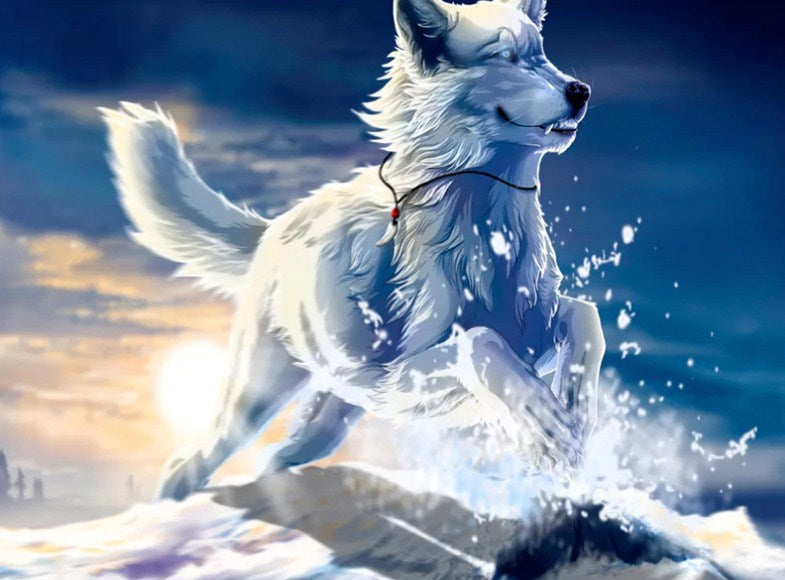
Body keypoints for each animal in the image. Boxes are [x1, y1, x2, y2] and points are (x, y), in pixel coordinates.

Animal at [101, 0, 605, 500]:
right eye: (505, 57)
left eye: (542, 53)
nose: (581, 90)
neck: (487, 231)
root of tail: (274, 228)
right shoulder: (397, 377)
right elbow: (481, 341)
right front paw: (543, 421)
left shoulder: (529, 335)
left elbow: (583, 315)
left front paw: (575, 408)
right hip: (257, 398)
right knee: (190, 462)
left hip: (331, 416)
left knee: (274, 460)